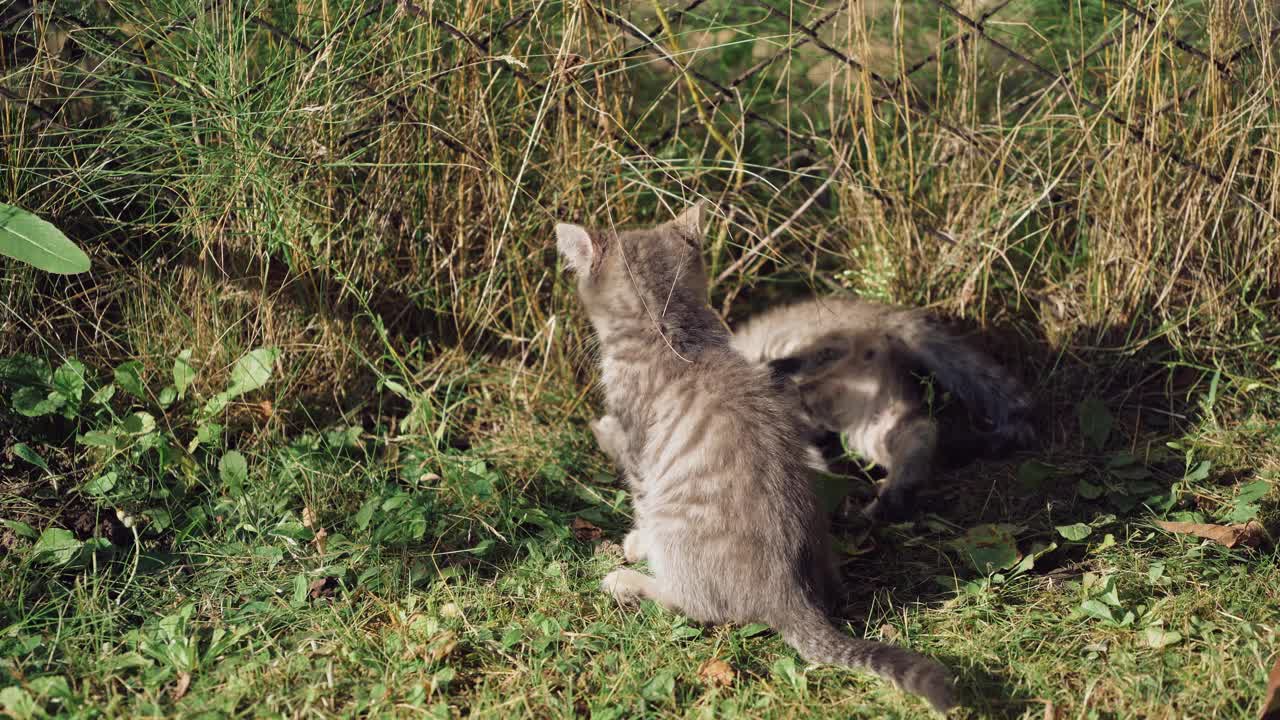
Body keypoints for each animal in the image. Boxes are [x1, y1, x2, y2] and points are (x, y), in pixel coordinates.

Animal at [555, 202, 957, 712]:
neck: (676, 338)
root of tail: (790, 596)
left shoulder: (638, 450)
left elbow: (639, 504)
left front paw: (634, 543)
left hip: (680, 532)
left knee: (691, 604)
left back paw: (628, 582)